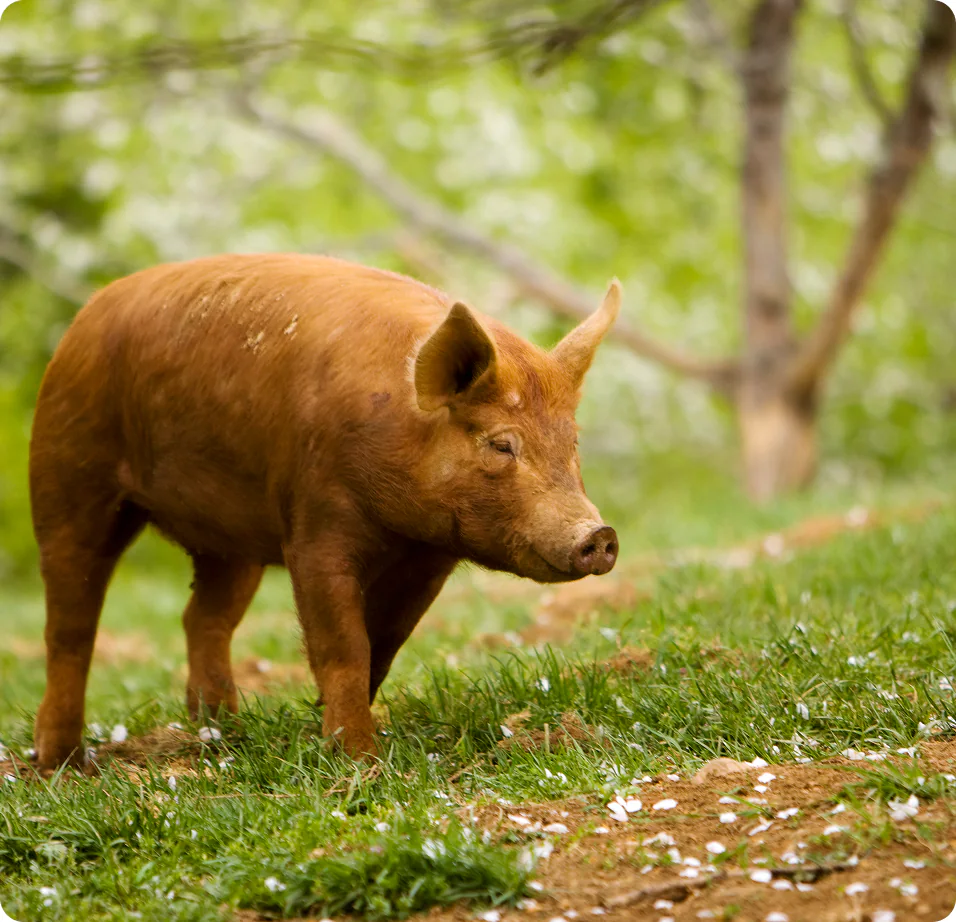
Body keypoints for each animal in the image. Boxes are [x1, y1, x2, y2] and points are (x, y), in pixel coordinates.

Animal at [29, 254, 620, 768]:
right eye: (501, 444)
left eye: (572, 442)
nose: (599, 534)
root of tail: (83, 319)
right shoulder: (314, 526)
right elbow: (344, 645)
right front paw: (360, 761)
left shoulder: (429, 558)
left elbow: (385, 642)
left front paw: (331, 730)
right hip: (68, 474)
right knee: (70, 627)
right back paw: (63, 764)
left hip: (230, 538)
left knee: (202, 617)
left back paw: (220, 733)